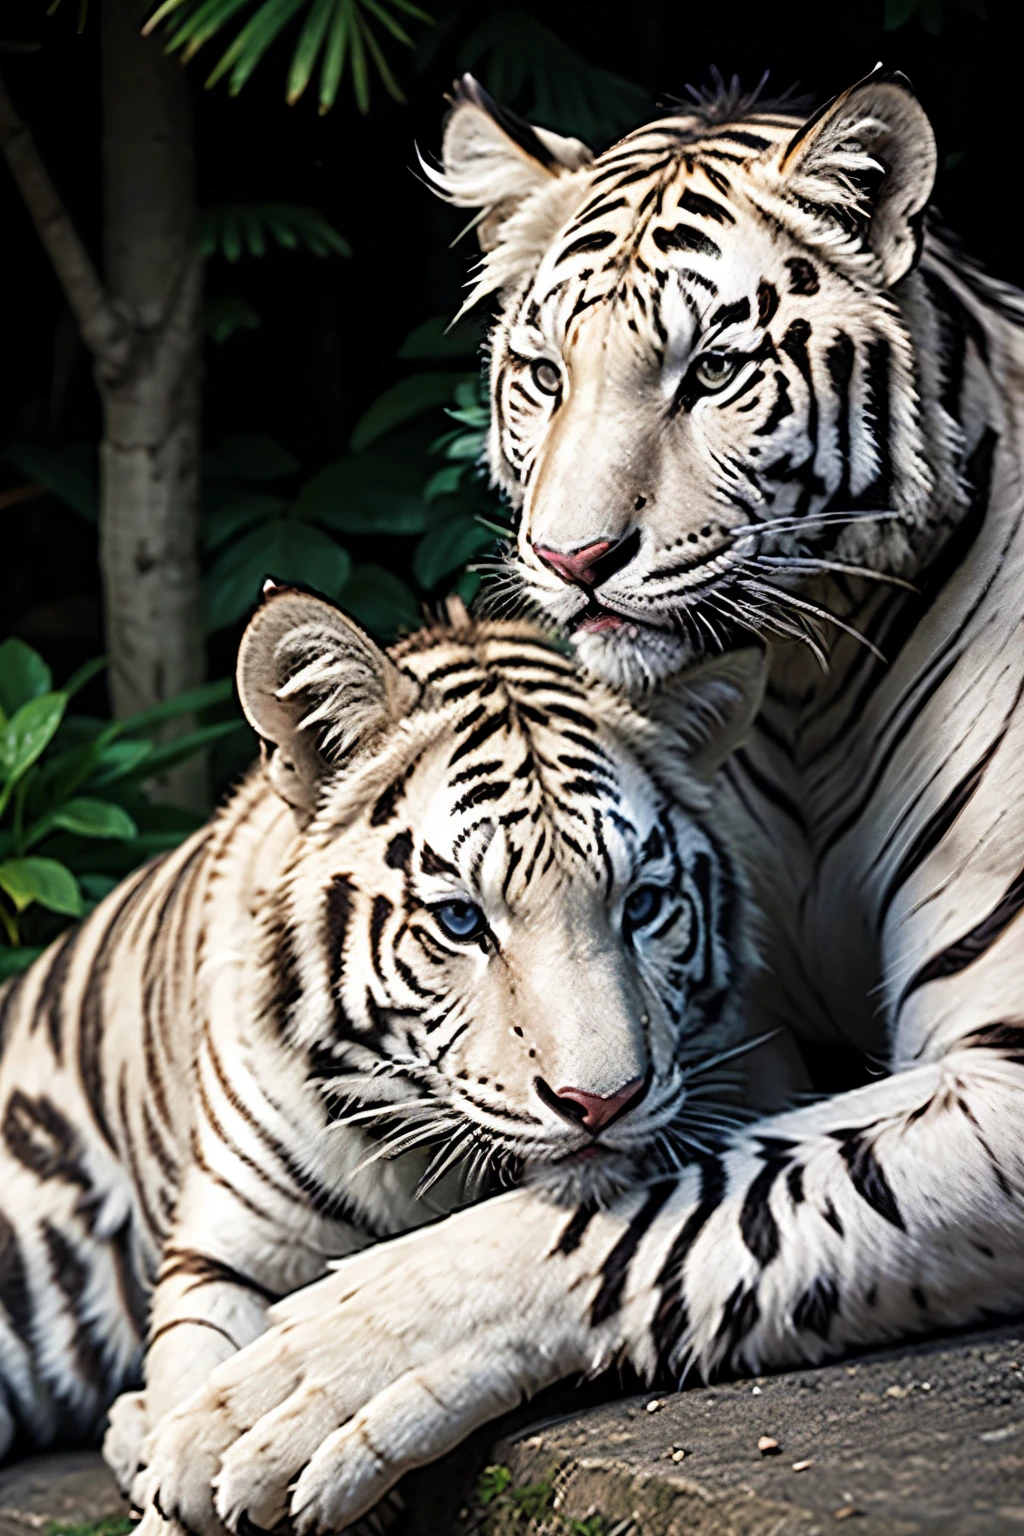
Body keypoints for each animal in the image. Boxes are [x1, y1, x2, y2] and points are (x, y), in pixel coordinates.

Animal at [138, 62, 1024, 1536]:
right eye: (544, 376)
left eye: (712, 370)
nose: (571, 559)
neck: (805, 687)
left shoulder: (991, 1067)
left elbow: (656, 1209)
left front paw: (291, 1383)